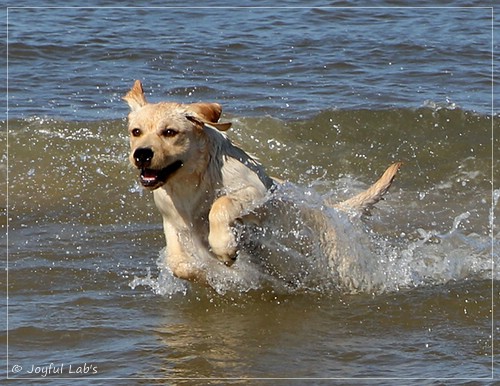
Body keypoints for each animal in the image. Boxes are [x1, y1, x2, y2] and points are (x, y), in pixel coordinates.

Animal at [125, 80, 402, 286]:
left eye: (169, 132)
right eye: (136, 132)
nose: (141, 155)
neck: (190, 182)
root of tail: (337, 212)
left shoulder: (255, 191)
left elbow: (221, 204)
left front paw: (225, 246)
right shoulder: (173, 220)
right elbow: (179, 264)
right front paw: (211, 272)